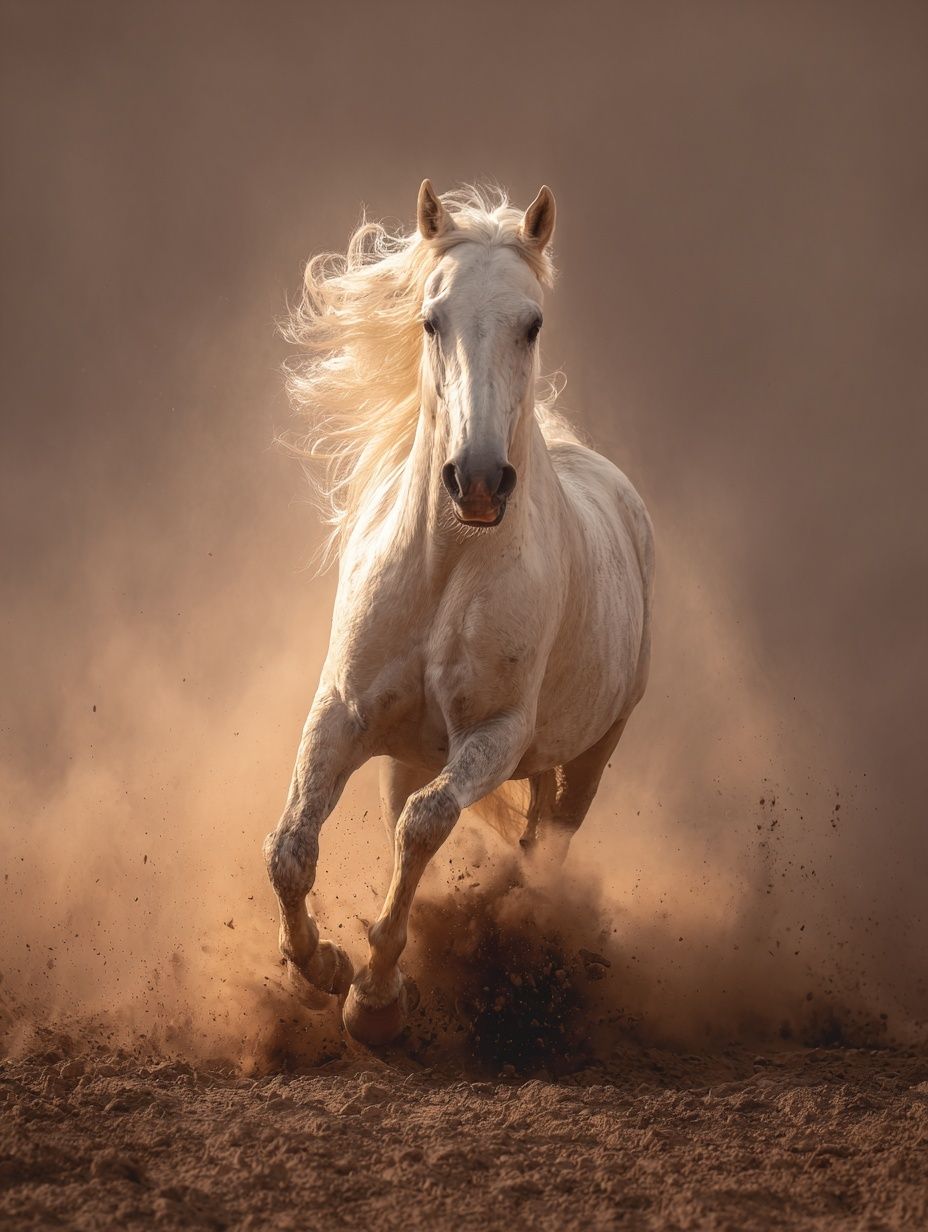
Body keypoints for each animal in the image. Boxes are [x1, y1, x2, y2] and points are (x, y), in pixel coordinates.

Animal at [264, 181, 654, 1045]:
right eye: (432, 320)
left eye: (531, 322)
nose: (477, 481)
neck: (447, 572)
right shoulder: (341, 710)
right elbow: (292, 848)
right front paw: (322, 967)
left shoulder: (496, 735)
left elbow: (424, 826)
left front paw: (375, 999)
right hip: (416, 750)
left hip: (593, 751)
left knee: (546, 851)